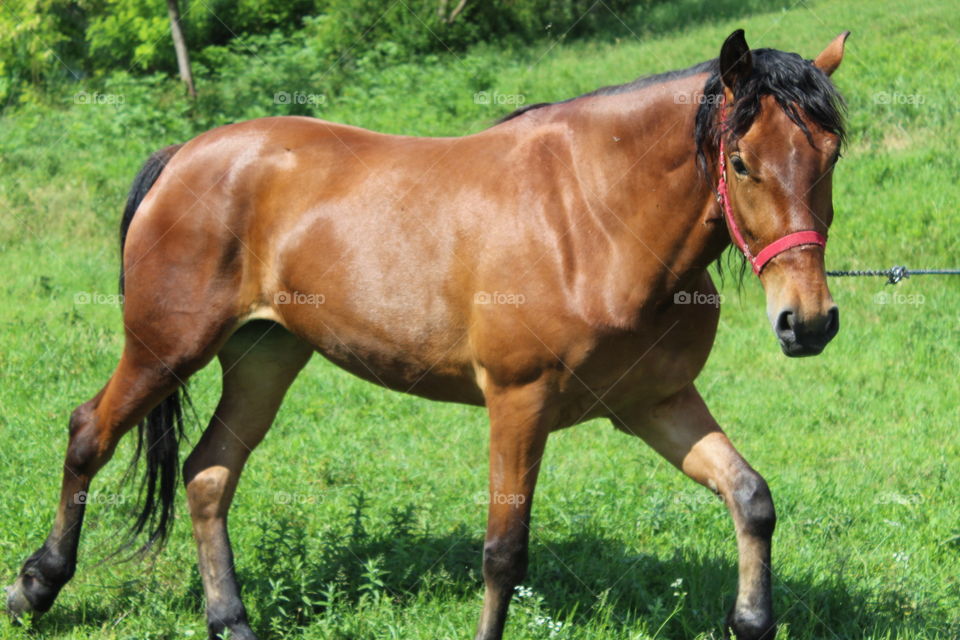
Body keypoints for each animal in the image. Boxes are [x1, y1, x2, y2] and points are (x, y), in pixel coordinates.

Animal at [6, 29, 849, 640]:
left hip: (264, 355)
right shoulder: (519, 401)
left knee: (208, 472)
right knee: (89, 435)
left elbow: (751, 497)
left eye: (831, 155)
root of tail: (185, 153)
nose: (806, 323)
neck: (592, 217)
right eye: (741, 161)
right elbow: (503, 554)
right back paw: (35, 586)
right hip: (166, 349)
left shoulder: (655, 402)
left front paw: (752, 621)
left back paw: (230, 620)